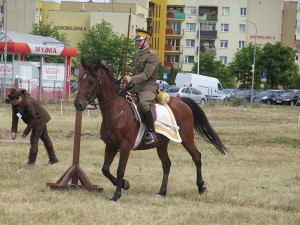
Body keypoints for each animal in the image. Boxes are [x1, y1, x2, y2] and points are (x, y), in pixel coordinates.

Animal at [74, 60, 226, 202]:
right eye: (79, 79)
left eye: (91, 81)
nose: (78, 104)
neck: (116, 111)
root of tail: (182, 102)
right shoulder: (111, 145)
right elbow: (105, 169)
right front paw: (124, 184)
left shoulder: (125, 146)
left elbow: (120, 170)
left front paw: (117, 194)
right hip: (162, 144)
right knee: (166, 164)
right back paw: (162, 191)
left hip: (187, 139)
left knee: (196, 157)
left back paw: (200, 187)